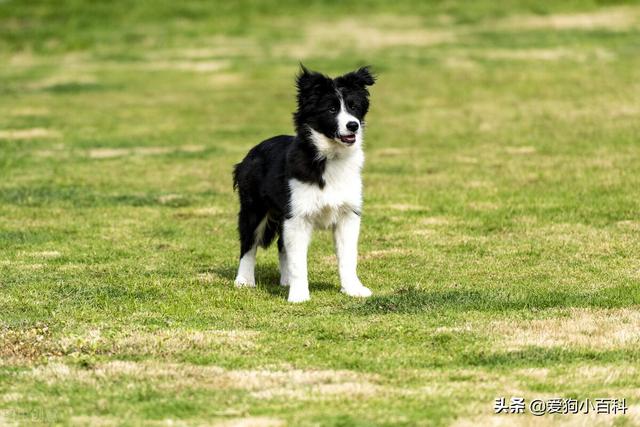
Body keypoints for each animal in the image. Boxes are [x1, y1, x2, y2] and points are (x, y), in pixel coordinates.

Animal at [232, 65, 376, 302]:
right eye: (331, 109)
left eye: (353, 106)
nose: (353, 126)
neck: (330, 157)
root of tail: (251, 153)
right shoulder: (298, 216)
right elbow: (298, 261)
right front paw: (299, 296)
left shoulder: (348, 215)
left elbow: (348, 257)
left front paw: (353, 289)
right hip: (254, 207)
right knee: (249, 243)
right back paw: (244, 280)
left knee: (281, 246)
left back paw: (285, 281)